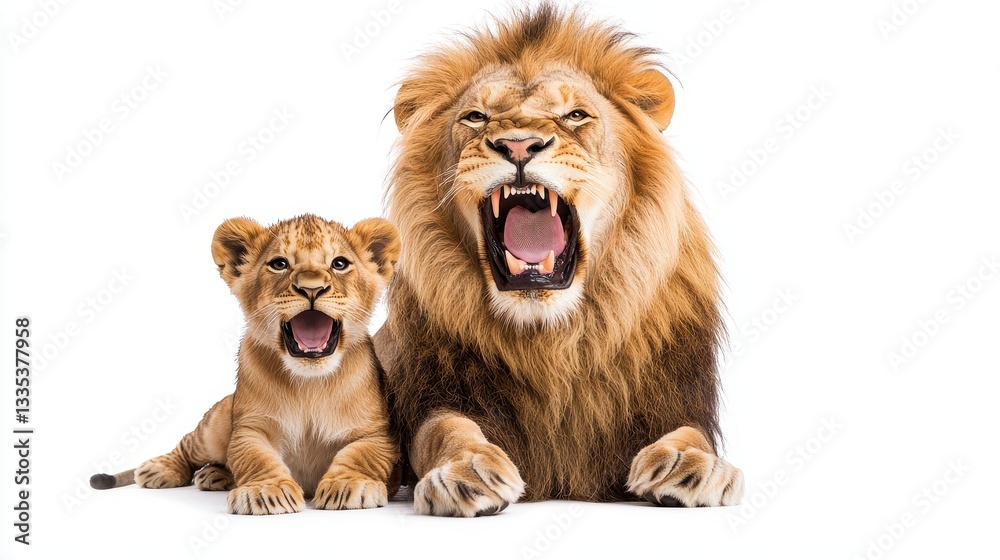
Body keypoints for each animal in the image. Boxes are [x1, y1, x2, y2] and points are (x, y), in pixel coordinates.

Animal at [90, 214, 402, 514]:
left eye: (339, 264)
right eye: (279, 264)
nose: (311, 288)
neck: (309, 383)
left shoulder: (377, 433)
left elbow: (361, 455)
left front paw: (348, 484)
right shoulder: (250, 427)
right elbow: (254, 457)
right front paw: (265, 491)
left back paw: (215, 475)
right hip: (215, 426)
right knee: (188, 446)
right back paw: (160, 468)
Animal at [375, 4, 745, 516]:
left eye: (575, 115)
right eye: (475, 117)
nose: (518, 145)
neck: (553, 339)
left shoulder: (674, 398)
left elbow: (691, 434)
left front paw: (689, 464)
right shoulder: (436, 394)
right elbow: (446, 430)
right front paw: (468, 471)